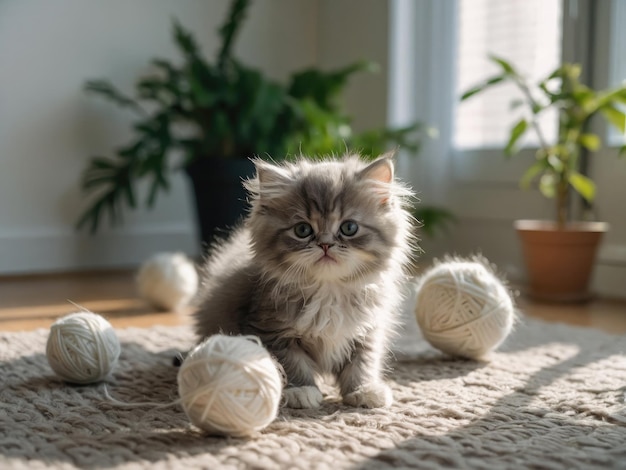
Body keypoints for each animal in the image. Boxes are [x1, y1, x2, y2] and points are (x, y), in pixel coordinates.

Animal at [190, 153, 414, 408]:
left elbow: (362, 363)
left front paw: (364, 390)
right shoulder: (271, 331)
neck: (329, 292)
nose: (325, 244)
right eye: (302, 230)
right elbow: (291, 364)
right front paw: (301, 390)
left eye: (349, 228)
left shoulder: (367, 330)